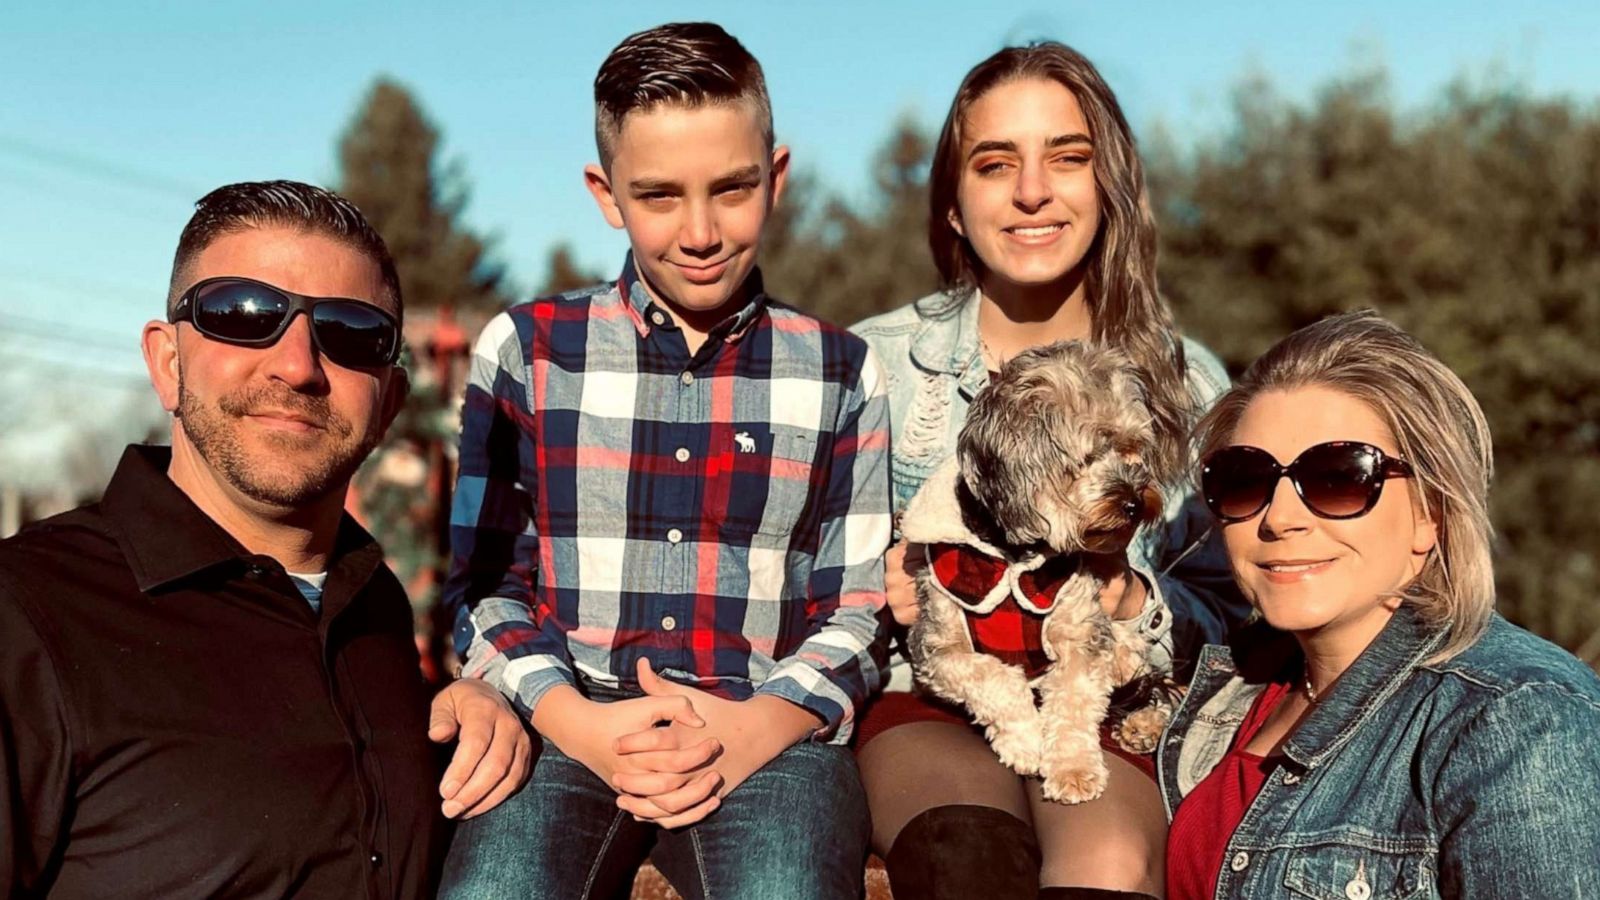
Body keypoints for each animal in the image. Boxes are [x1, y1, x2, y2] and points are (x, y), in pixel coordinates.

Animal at [915, 339, 1177, 800]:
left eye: (1132, 449)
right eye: (1087, 457)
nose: (1135, 502)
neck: (1015, 557)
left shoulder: (1080, 633)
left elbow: (1074, 704)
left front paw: (1073, 769)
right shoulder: (936, 648)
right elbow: (993, 676)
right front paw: (1024, 742)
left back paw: (1142, 722)